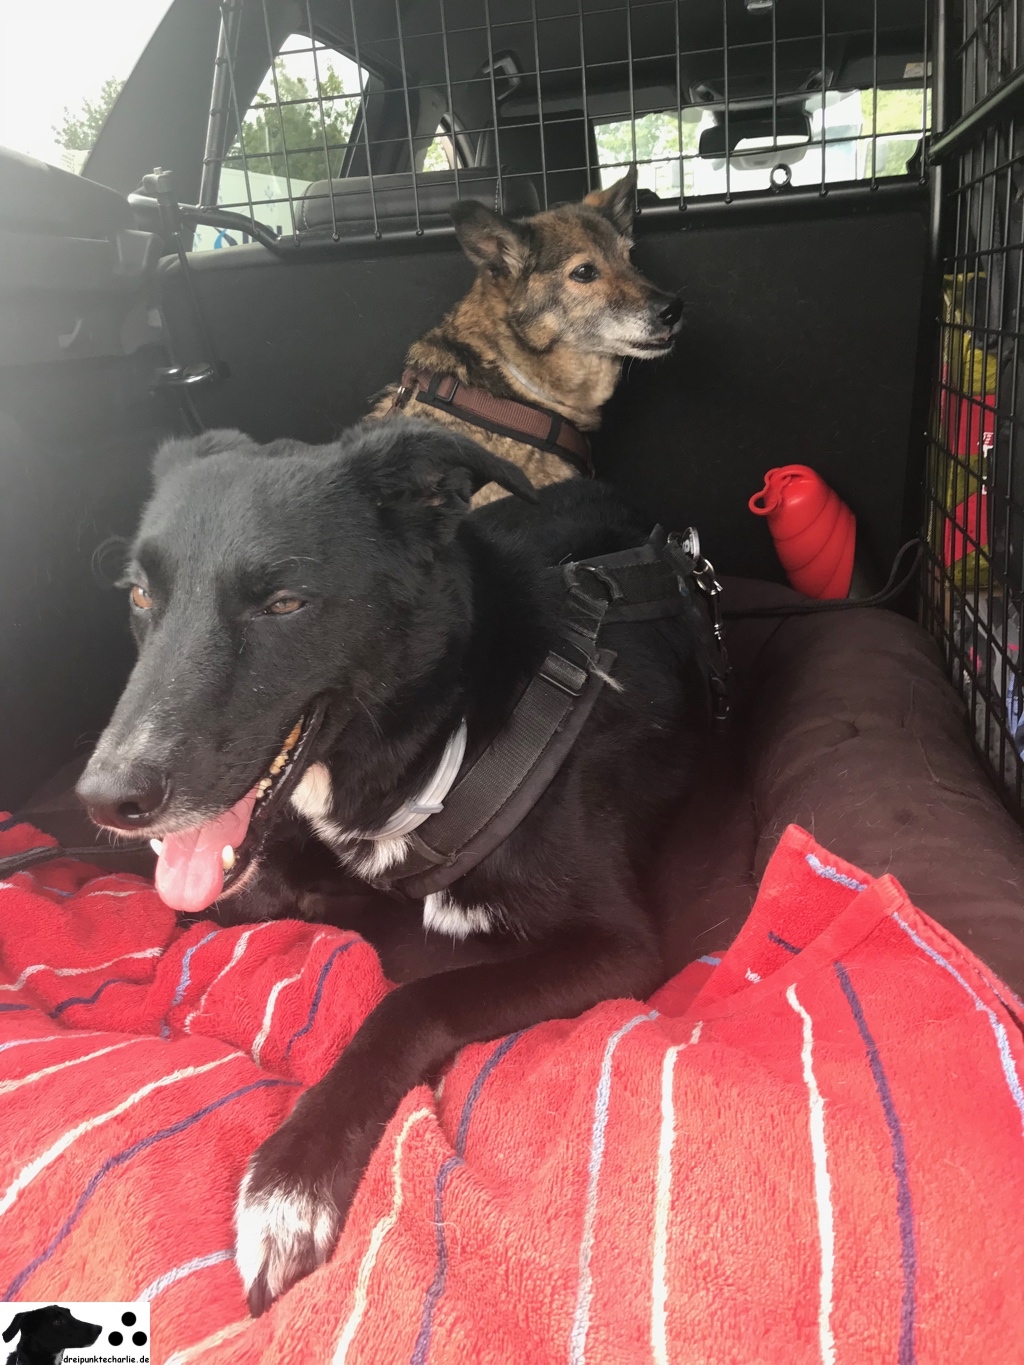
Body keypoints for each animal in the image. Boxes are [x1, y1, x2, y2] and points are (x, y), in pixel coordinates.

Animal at [76, 419, 710, 1315]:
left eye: (284, 602)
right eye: (139, 596)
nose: (106, 799)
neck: (448, 732)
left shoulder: (618, 947)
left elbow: (413, 999)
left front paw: (292, 1180)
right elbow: (248, 897)